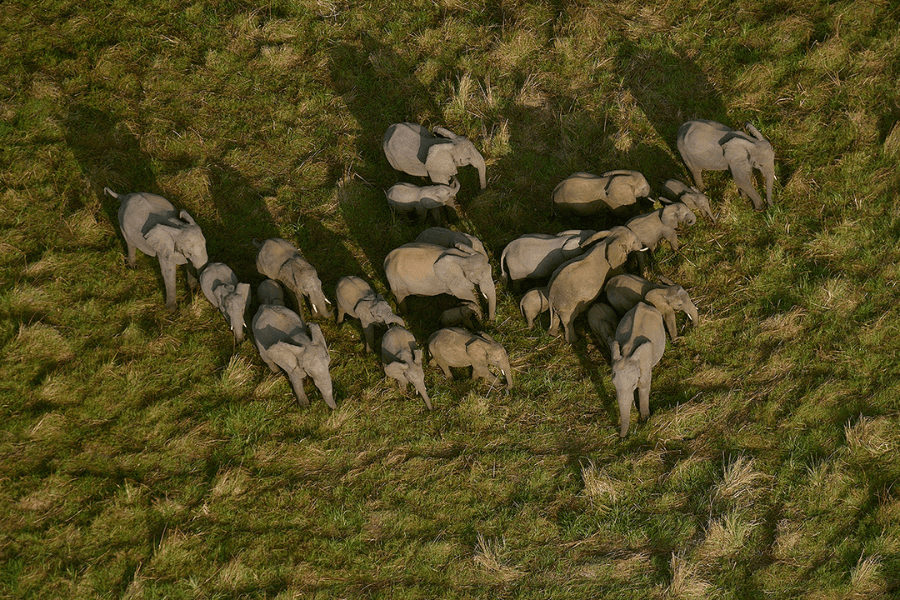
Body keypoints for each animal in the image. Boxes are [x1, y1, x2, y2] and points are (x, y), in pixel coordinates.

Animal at [610, 302, 667, 437]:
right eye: (613, 384)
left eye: (633, 384)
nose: (621, 437)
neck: (627, 353)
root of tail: (642, 303)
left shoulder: (646, 360)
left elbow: (644, 386)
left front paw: (646, 419)